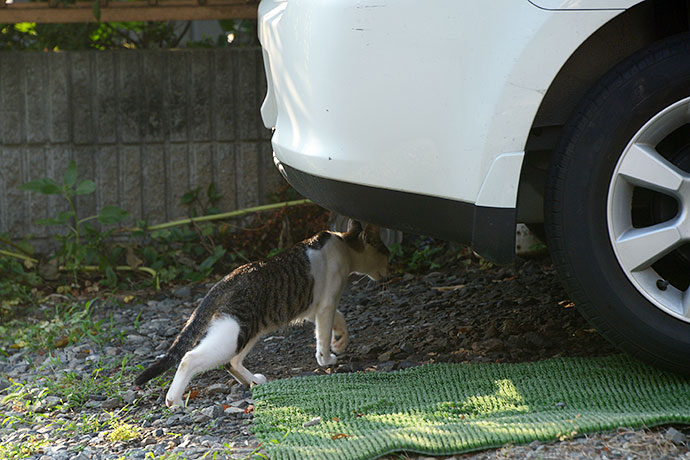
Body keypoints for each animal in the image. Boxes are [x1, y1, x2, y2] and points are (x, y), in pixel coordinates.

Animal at [132, 219, 384, 406]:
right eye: (386, 254)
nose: (389, 269)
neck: (344, 244)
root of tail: (228, 279)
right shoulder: (326, 303)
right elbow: (323, 332)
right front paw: (327, 357)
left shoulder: (310, 307)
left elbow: (338, 319)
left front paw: (340, 339)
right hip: (235, 332)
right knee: (190, 358)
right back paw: (173, 400)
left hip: (249, 331)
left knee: (231, 362)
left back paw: (254, 381)